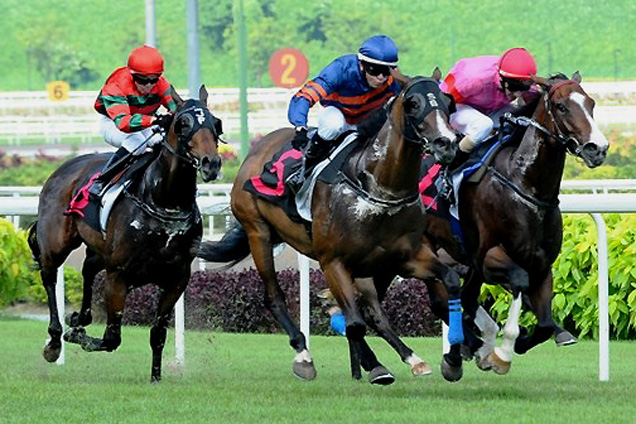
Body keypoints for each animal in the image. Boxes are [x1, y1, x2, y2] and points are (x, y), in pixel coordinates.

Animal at [27, 85, 221, 380]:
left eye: (216, 123)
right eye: (182, 123)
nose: (212, 163)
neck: (163, 200)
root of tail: (63, 169)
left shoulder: (177, 278)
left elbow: (158, 333)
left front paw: (156, 377)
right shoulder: (118, 275)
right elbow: (111, 338)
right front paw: (76, 337)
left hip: (99, 249)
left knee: (87, 269)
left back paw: (80, 318)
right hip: (55, 244)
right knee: (49, 277)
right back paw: (55, 340)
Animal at [200, 75, 462, 384]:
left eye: (447, 102)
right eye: (413, 103)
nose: (446, 143)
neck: (378, 187)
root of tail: (256, 149)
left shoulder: (405, 257)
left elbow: (451, 282)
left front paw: (454, 360)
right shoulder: (333, 261)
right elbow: (355, 323)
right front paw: (374, 366)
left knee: (368, 310)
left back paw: (406, 359)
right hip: (258, 232)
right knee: (275, 297)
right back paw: (304, 355)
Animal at [422, 73, 612, 374]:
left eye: (591, 103)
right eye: (561, 106)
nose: (598, 148)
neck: (526, 186)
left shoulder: (542, 265)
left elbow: (544, 325)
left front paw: (521, 342)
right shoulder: (491, 258)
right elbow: (519, 281)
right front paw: (503, 351)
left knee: (464, 296)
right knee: (441, 299)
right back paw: (466, 349)